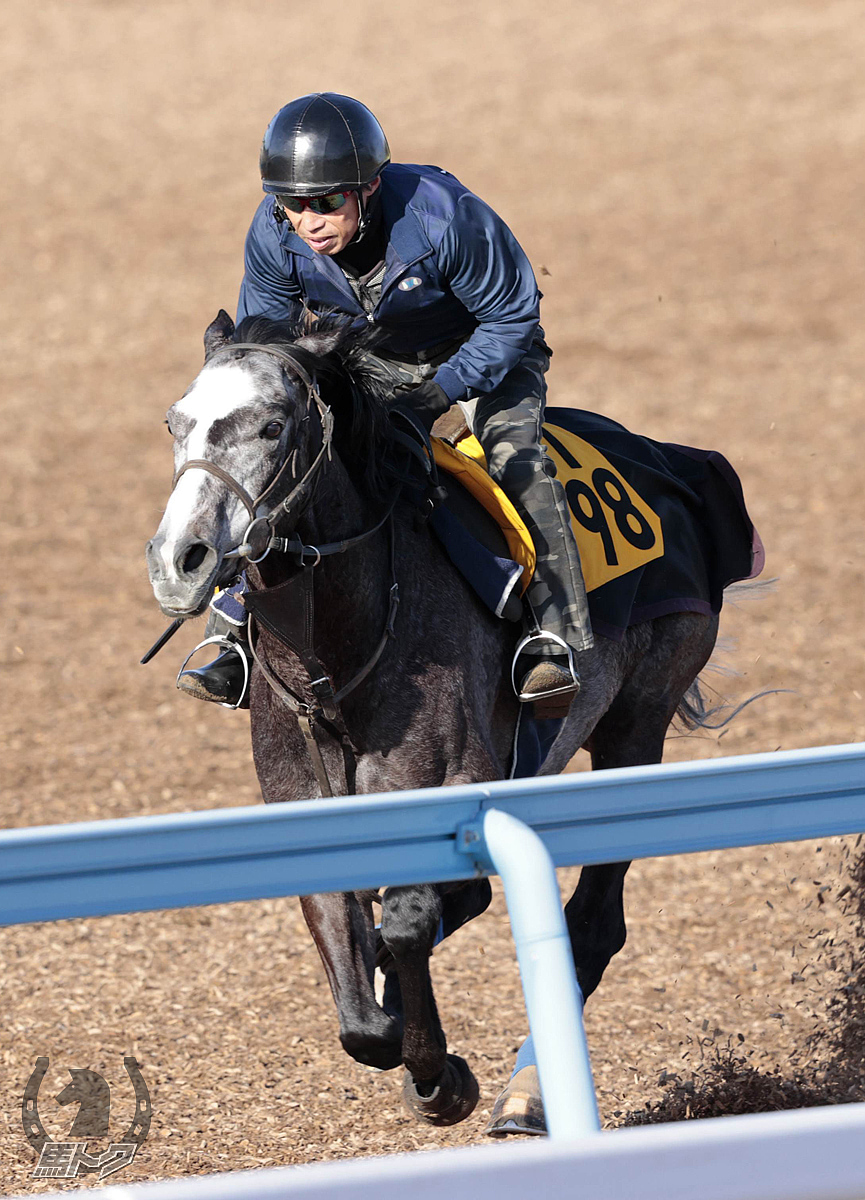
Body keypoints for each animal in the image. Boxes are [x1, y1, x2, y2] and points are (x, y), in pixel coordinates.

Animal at [145, 307, 719, 1123]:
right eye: (175, 422)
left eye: (273, 425)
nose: (178, 560)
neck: (338, 664)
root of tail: (671, 462)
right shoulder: (304, 806)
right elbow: (360, 1010)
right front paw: (395, 1023)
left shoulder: (451, 789)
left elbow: (413, 923)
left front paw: (439, 1076)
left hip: (637, 721)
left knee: (591, 924)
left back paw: (526, 1099)